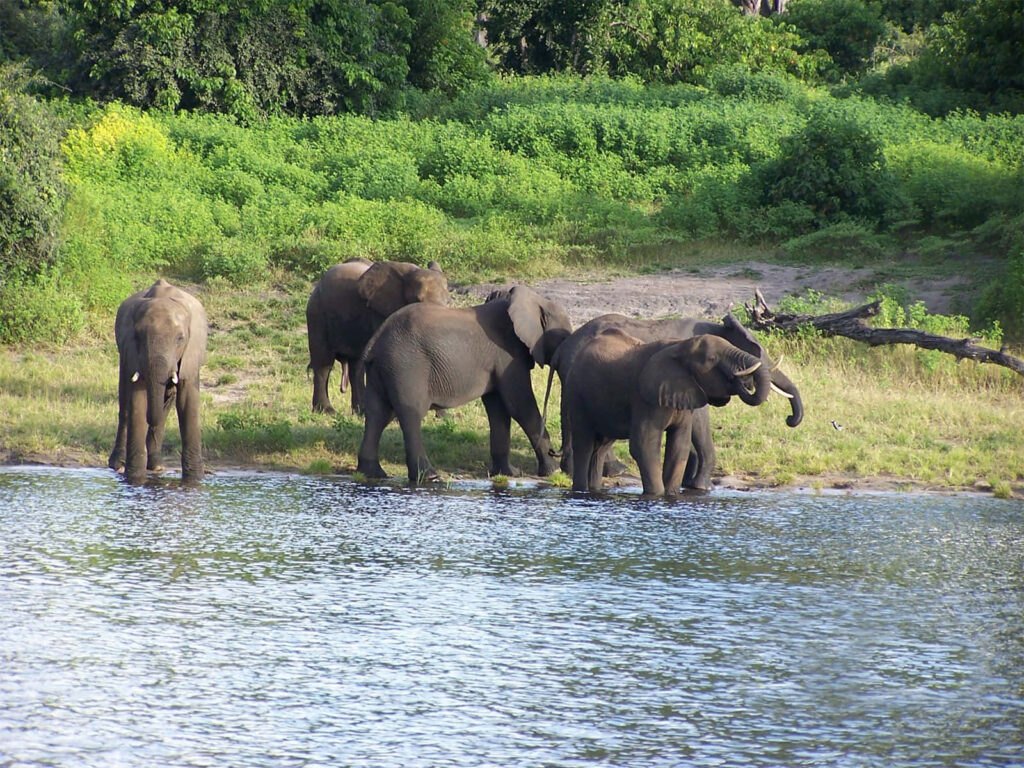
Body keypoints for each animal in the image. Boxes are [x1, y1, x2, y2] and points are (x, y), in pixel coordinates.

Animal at [108, 279, 208, 483]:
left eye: (180, 339)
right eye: (138, 336)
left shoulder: (191, 353)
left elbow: (187, 401)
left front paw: (195, 480)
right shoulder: (133, 351)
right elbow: (138, 400)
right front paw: (135, 479)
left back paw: (156, 466)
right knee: (125, 403)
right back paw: (118, 465)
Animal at [306, 258, 449, 415]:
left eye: (447, 302)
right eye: (417, 300)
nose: (439, 414)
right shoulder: (380, 314)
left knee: (356, 366)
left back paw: (360, 412)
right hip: (317, 313)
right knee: (323, 363)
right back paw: (326, 411)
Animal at [356, 285, 573, 484]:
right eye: (564, 338)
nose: (555, 452)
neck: (535, 301)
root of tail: (374, 342)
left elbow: (498, 409)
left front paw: (507, 474)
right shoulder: (507, 355)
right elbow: (520, 406)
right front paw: (552, 471)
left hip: (383, 369)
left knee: (377, 415)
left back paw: (372, 474)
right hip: (407, 366)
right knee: (410, 414)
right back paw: (429, 477)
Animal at [545, 312, 803, 490]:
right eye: (758, 353)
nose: (790, 418)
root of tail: (563, 348)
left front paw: (690, 484)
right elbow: (700, 421)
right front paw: (700, 487)